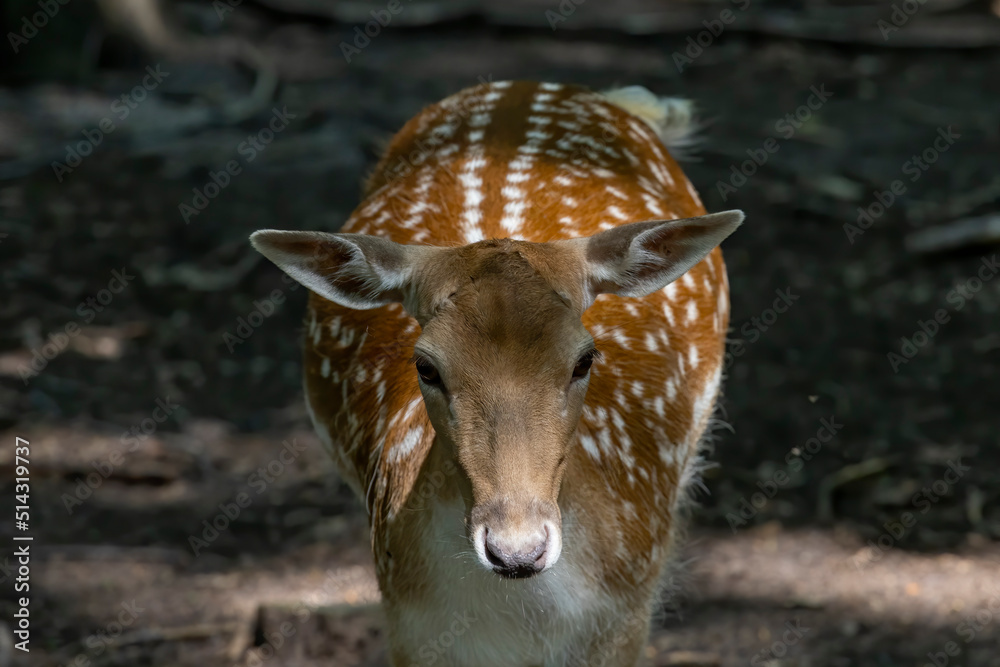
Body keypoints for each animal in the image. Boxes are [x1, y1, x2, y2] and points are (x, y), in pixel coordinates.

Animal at [252, 79, 744, 667]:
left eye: (585, 359)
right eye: (426, 365)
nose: (517, 549)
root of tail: (529, 85)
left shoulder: (626, 613)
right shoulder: (406, 622)